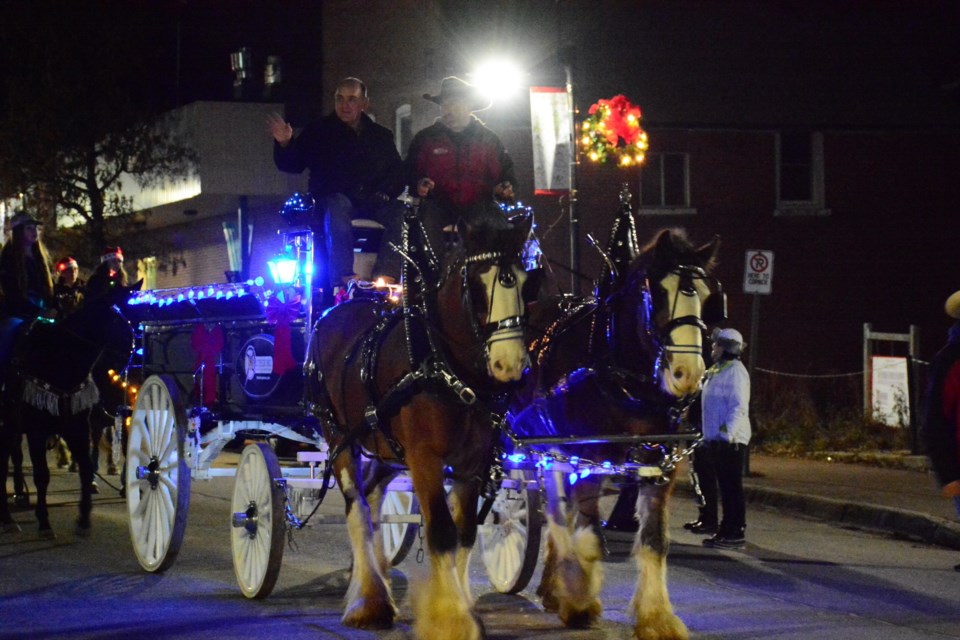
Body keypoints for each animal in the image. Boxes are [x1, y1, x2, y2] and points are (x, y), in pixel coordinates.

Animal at [308, 209, 532, 636]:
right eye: (477, 285)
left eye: (525, 280)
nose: (510, 364)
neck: (442, 364)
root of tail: (333, 313)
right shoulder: (425, 457)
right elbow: (442, 532)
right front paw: (453, 620)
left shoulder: (472, 464)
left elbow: (464, 533)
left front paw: (464, 611)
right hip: (339, 436)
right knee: (357, 508)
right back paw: (369, 601)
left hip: (383, 448)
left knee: (372, 499)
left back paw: (375, 578)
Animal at [510, 219, 720, 636]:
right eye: (658, 293)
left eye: (706, 296)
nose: (687, 374)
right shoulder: (589, 455)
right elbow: (590, 535)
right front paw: (580, 600)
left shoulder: (660, 461)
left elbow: (655, 539)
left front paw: (657, 617)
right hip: (547, 447)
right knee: (556, 514)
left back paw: (552, 587)